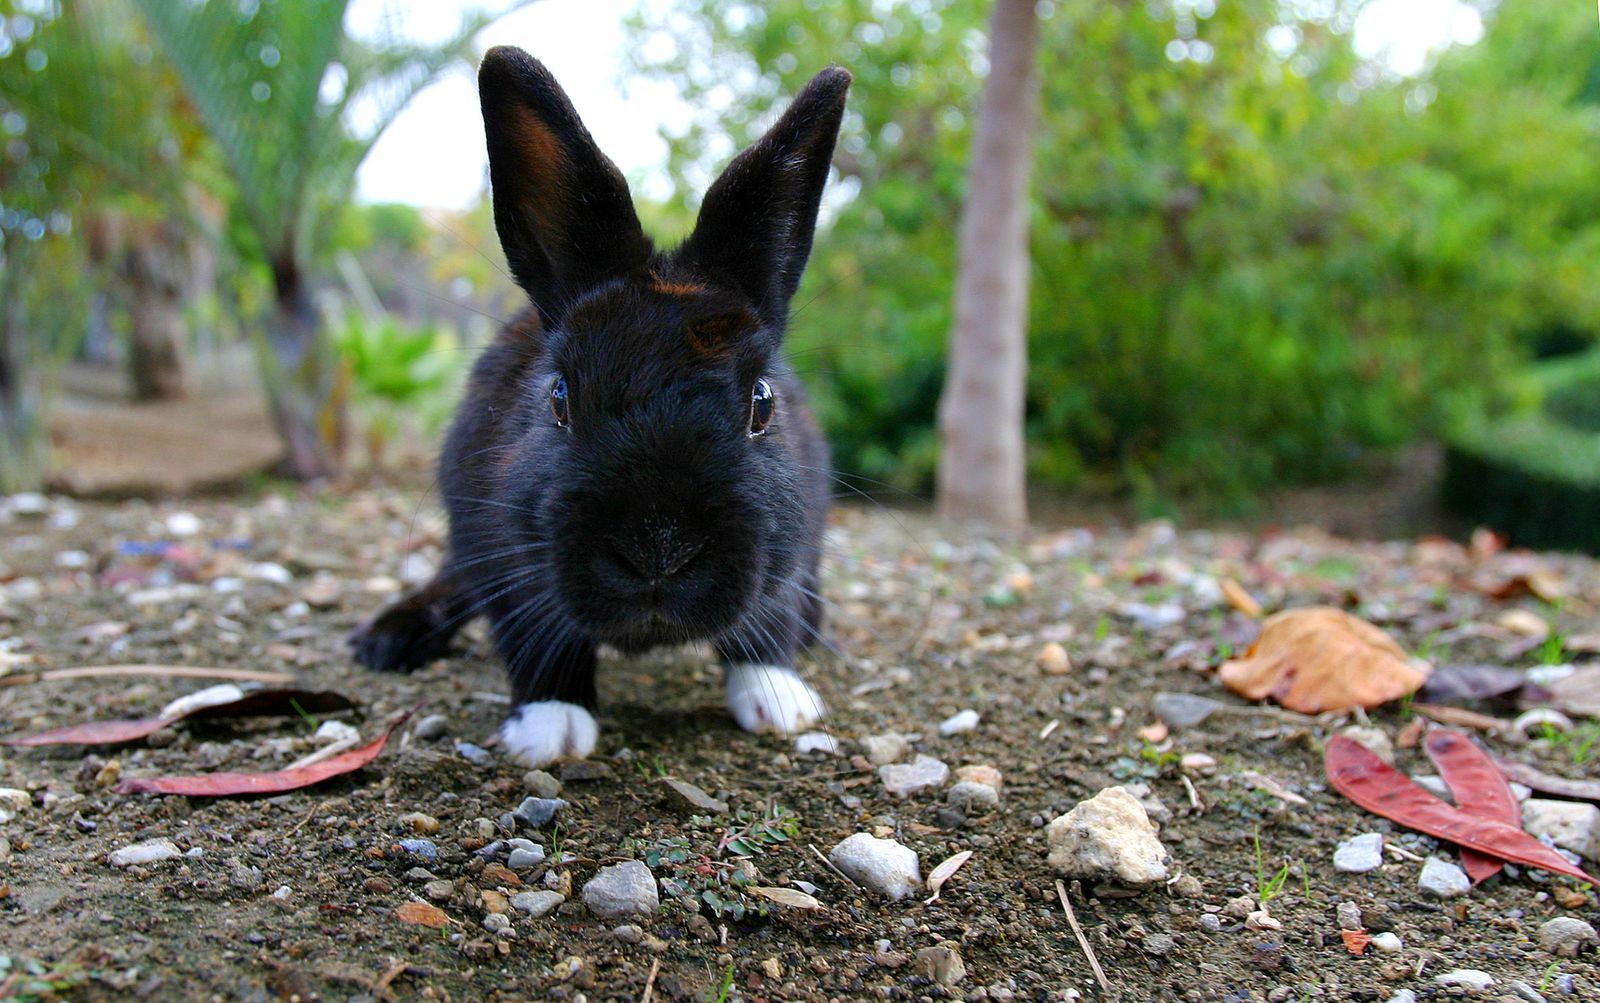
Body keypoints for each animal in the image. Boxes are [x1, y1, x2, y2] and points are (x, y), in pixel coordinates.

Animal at [349, 46, 849, 768]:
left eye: (762, 403)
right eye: (559, 396)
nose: (659, 547)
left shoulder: (790, 543)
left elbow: (767, 622)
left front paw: (778, 699)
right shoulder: (504, 553)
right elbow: (534, 636)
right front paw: (549, 727)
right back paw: (385, 640)